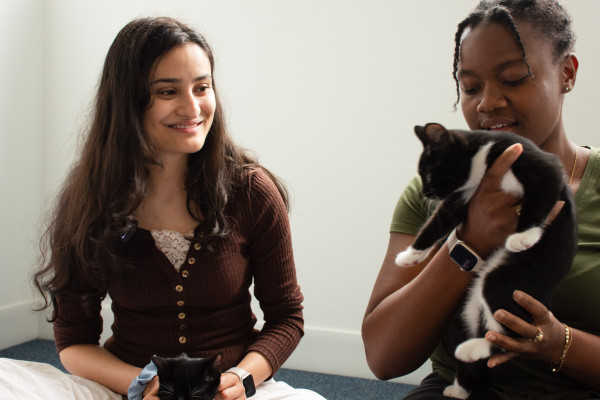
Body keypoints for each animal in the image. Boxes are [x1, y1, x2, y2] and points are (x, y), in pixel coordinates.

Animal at [394, 123, 576, 398]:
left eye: (428, 174)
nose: (425, 192)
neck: (482, 159)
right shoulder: (464, 196)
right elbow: (437, 223)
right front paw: (410, 255)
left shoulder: (541, 166)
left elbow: (542, 195)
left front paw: (524, 236)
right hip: (469, 307)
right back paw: (460, 385)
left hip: (508, 282)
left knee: (512, 340)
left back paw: (472, 350)